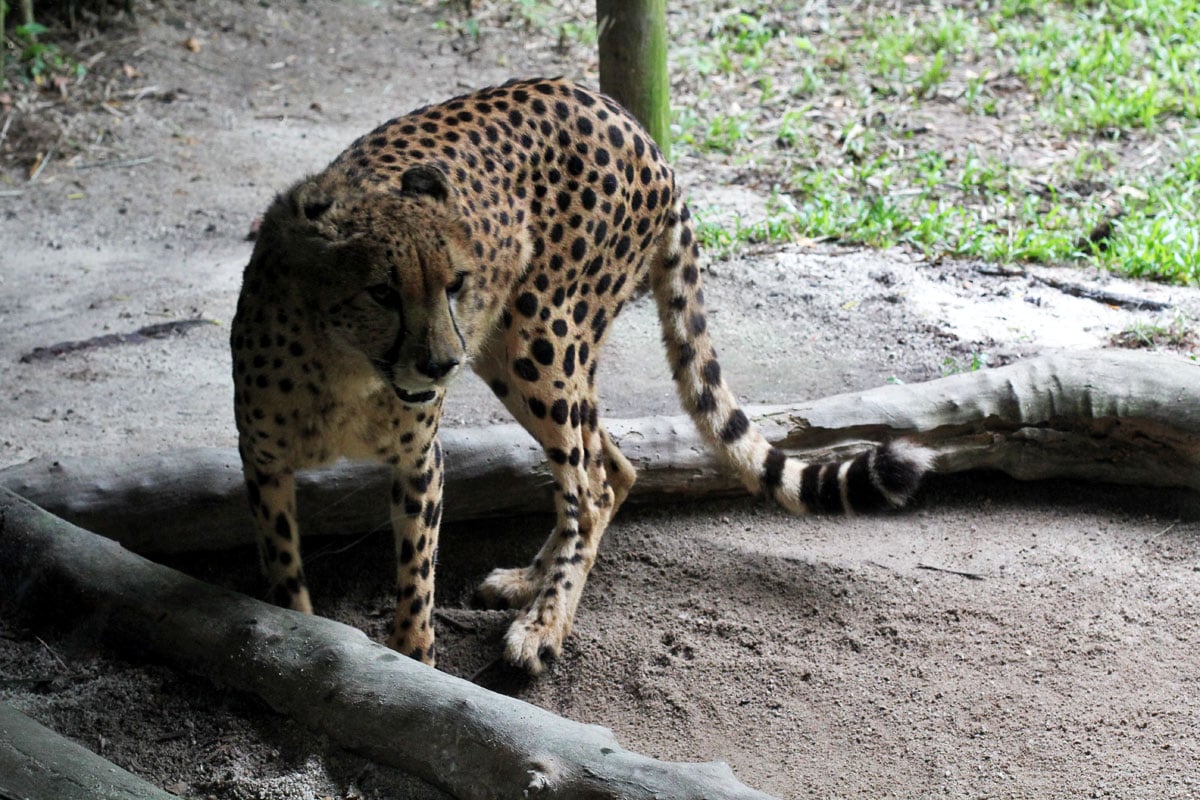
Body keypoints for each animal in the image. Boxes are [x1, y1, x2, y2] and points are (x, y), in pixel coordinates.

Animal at [229, 77, 931, 671]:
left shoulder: (419, 461)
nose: (441, 363)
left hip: (538, 340)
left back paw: (544, 626)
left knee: (588, 489)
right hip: (517, 353)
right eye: (381, 292)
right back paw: (529, 582)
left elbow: (416, 580)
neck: (347, 371)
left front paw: (413, 664)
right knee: (611, 470)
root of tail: (632, 124)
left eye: (455, 283)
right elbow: (285, 572)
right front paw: (300, 637)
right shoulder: (264, 465)